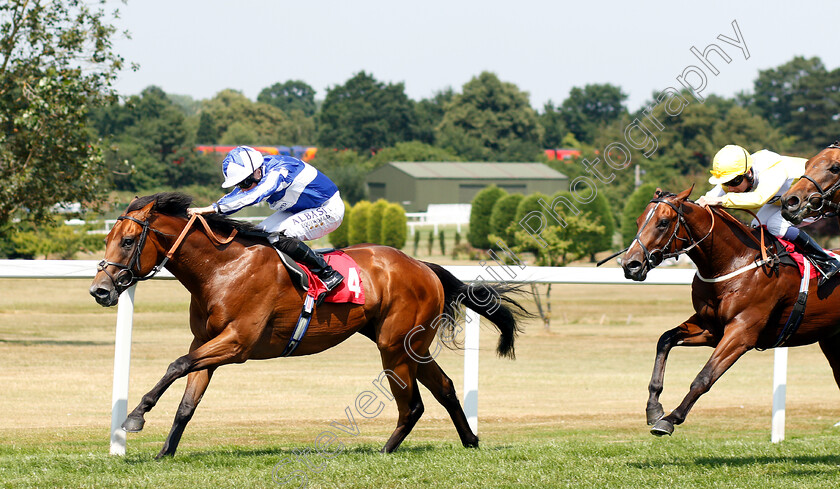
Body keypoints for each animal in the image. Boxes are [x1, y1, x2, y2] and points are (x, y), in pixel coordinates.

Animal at [90, 192, 524, 458]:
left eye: (127, 241)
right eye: (108, 236)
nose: (100, 290)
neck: (222, 269)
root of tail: (424, 266)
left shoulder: (237, 343)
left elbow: (176, 365)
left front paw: (136, 416)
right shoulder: (209, 342)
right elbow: (187, 401)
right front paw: (165, 452)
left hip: (394, 345)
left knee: (412, 404)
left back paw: (385, 451)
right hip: (409, 345)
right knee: (445, 388)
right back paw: (470, 441)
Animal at [620, 186, 840, 434]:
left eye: (663, 222)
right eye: (638, 221)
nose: (630, 265)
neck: (734, 262)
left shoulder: (742, 333)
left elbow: (704, 377)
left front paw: (670, 419)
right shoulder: (711, 328)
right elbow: (665, 339)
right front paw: (653, 407)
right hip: (832, 341)